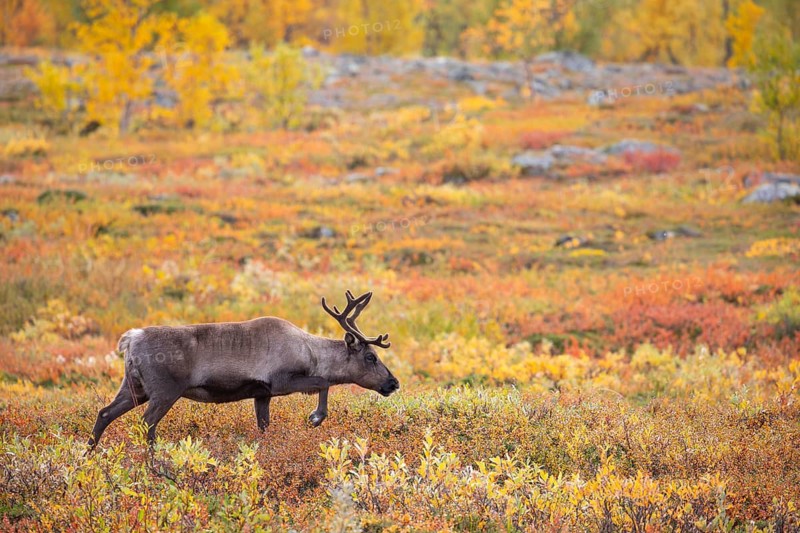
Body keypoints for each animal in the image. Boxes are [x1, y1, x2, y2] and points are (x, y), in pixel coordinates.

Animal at [88, 291, 399, 448]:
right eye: (370, 356)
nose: (393, 383)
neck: (310, 352)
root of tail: (130, 339)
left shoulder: (262, 393)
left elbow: (264, 426)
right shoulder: (282, 381)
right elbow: (323, 381)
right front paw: (316, 417)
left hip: (134, 387)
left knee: (104, 413)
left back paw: (89, 453)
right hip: (165, 391)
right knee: (146, 423)